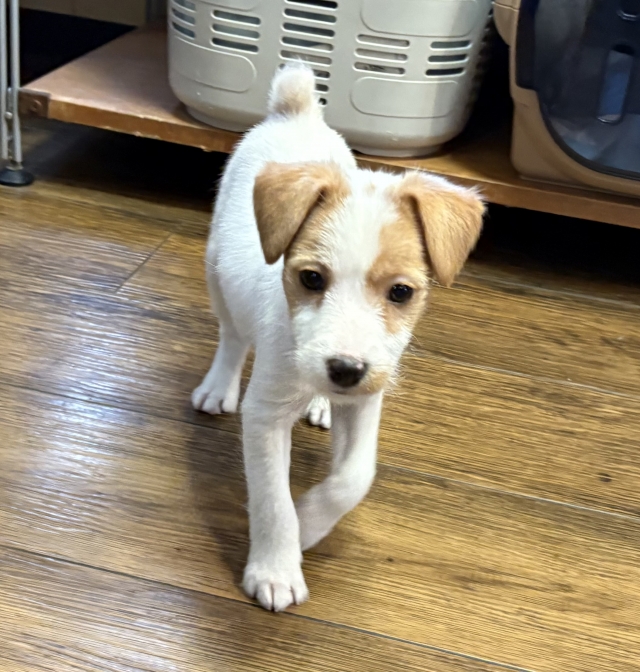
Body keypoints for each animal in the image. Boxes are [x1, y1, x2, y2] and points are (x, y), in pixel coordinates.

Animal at [192, 63, 485, 612]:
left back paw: (319, 406)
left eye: (401, 292)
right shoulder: (264, 415)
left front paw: (310, 523)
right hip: (217, 269)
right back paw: (218, 386)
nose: (344, 371)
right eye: (311, 279)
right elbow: (272, 500)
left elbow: (354, 478)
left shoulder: (368, 400)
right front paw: (277, 566)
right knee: (231, 336)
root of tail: (296, 110)